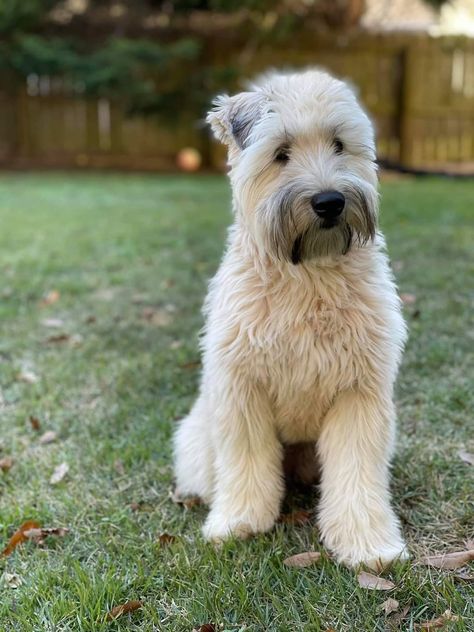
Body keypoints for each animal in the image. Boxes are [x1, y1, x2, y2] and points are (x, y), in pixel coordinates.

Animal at [173, 70, 408, 572]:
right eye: (281, 153)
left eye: (339, 144)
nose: (329, 202)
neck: (309, 277)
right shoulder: (243, 388)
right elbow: (244, 462)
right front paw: (239, 522)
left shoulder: (358, 392)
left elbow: (357, 475)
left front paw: (368, 544)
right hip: (199, 435)